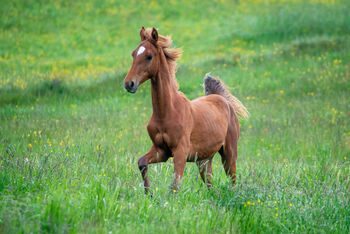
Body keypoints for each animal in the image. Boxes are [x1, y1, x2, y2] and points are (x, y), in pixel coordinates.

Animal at [123, 26, 249, 193]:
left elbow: (175, 185)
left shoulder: (180, 152)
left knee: (233, 179)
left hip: (229, 152)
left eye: (149, 56)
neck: (166, 112)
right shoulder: (161, 151)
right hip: (203, 160)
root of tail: (222, 100)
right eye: (133, 53)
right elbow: (142, 163)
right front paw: (149, 193)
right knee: (210, 183)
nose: (129, 84)